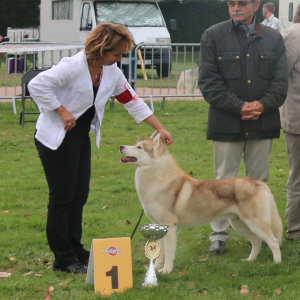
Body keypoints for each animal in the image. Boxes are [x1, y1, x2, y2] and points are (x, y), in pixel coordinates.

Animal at [119, 132, 282, 274]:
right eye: (135, 144)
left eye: (139, 147)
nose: (120, 146)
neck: (158, 177)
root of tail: (259, 183)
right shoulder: (159, 226)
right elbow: (161, 252)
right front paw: (157, 268)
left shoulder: (170, 226)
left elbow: (169, 252)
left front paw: (166, 270)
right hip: (239, 224)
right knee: (256, 241)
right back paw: (249, 260)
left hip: (255, 223)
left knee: (273, 241)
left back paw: (276, 263)